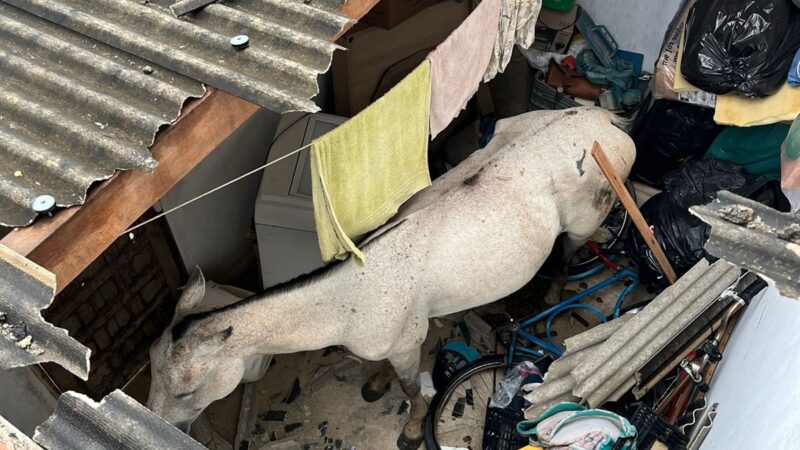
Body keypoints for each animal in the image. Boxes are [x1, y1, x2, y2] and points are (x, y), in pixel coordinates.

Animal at [147, 107, 636, 448]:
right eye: (151, 364)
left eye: (187, 390)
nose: (161, 424)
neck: (347, 296)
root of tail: (602, 118)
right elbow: (378, 370)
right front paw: (375, 384)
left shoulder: (405, 343)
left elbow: (410, 385)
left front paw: (411, 430)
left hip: (585, 221)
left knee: (568, 253)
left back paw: (549, 296)